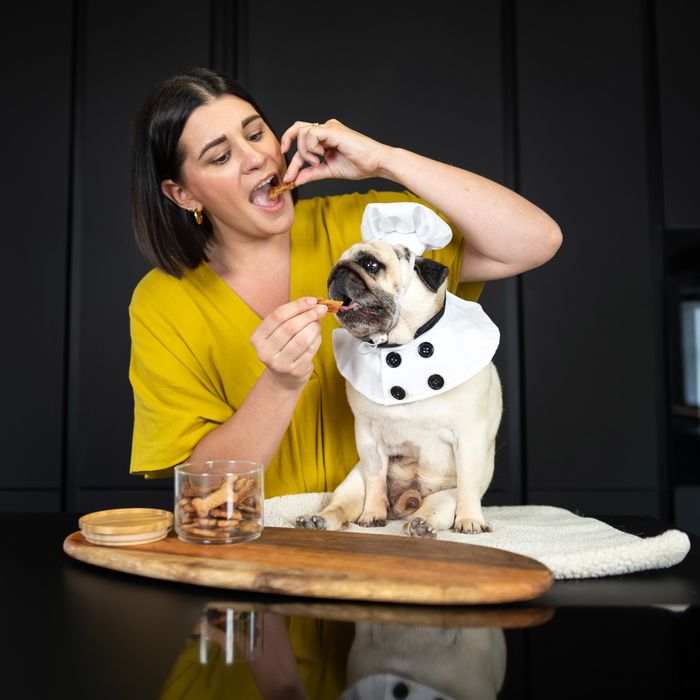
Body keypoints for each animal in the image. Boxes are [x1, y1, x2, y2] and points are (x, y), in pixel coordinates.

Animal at [292, 221, 500, 540]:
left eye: (370, 264)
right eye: (336, 264)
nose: (338, 270)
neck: (402, 347)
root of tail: (406, 500)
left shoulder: (470, 437)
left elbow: (467, 486)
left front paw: (470, 521)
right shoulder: (369, 439)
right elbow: (376, 480)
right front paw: (372, 514)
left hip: (442, 498)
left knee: (436, 507)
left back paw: (422, 524)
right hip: (352, 482)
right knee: (342, 506)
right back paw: (319, 519)